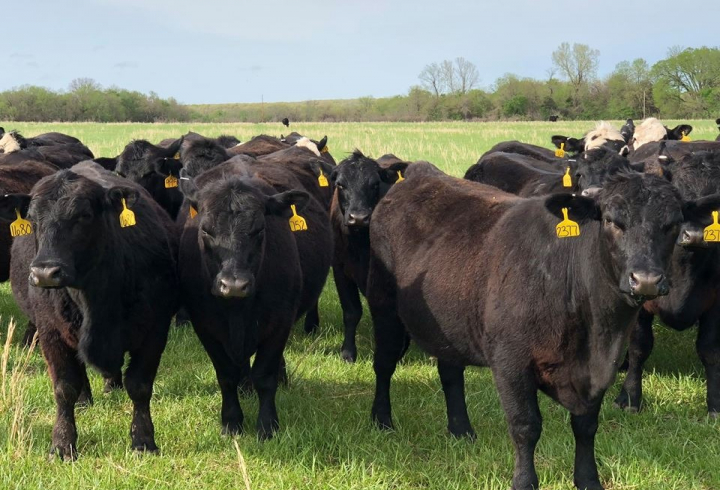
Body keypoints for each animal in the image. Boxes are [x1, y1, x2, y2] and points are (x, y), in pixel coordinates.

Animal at [0, 161, 179, 459]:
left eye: (83, 216)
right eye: (33, 220)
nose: (45, 272)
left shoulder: (155, 330)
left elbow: (140, 386)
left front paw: (143, 439)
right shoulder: (50, 333)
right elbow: (64, 388)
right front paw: (62, 444)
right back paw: (85, 399)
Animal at [177, 159, 331, 438]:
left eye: (259, 229)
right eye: (206, 230)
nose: (234, 284)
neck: (238, 310)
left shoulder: (279, 323)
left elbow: (265, 376)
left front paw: (268, 425)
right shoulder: (205, 327)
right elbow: (226, 375)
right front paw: (231, 422)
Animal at [329, 150, 407, 361]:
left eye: (375, 184)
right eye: (340, 184)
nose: (358, 218)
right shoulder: (340, 269)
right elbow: (352, 312)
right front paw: (348, 352)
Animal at [615, 150, 720, 417]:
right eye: (679, 198)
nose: (696, 235)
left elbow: (710, 350)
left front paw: (715, 403)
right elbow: (640, 346)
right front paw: (630, 397)